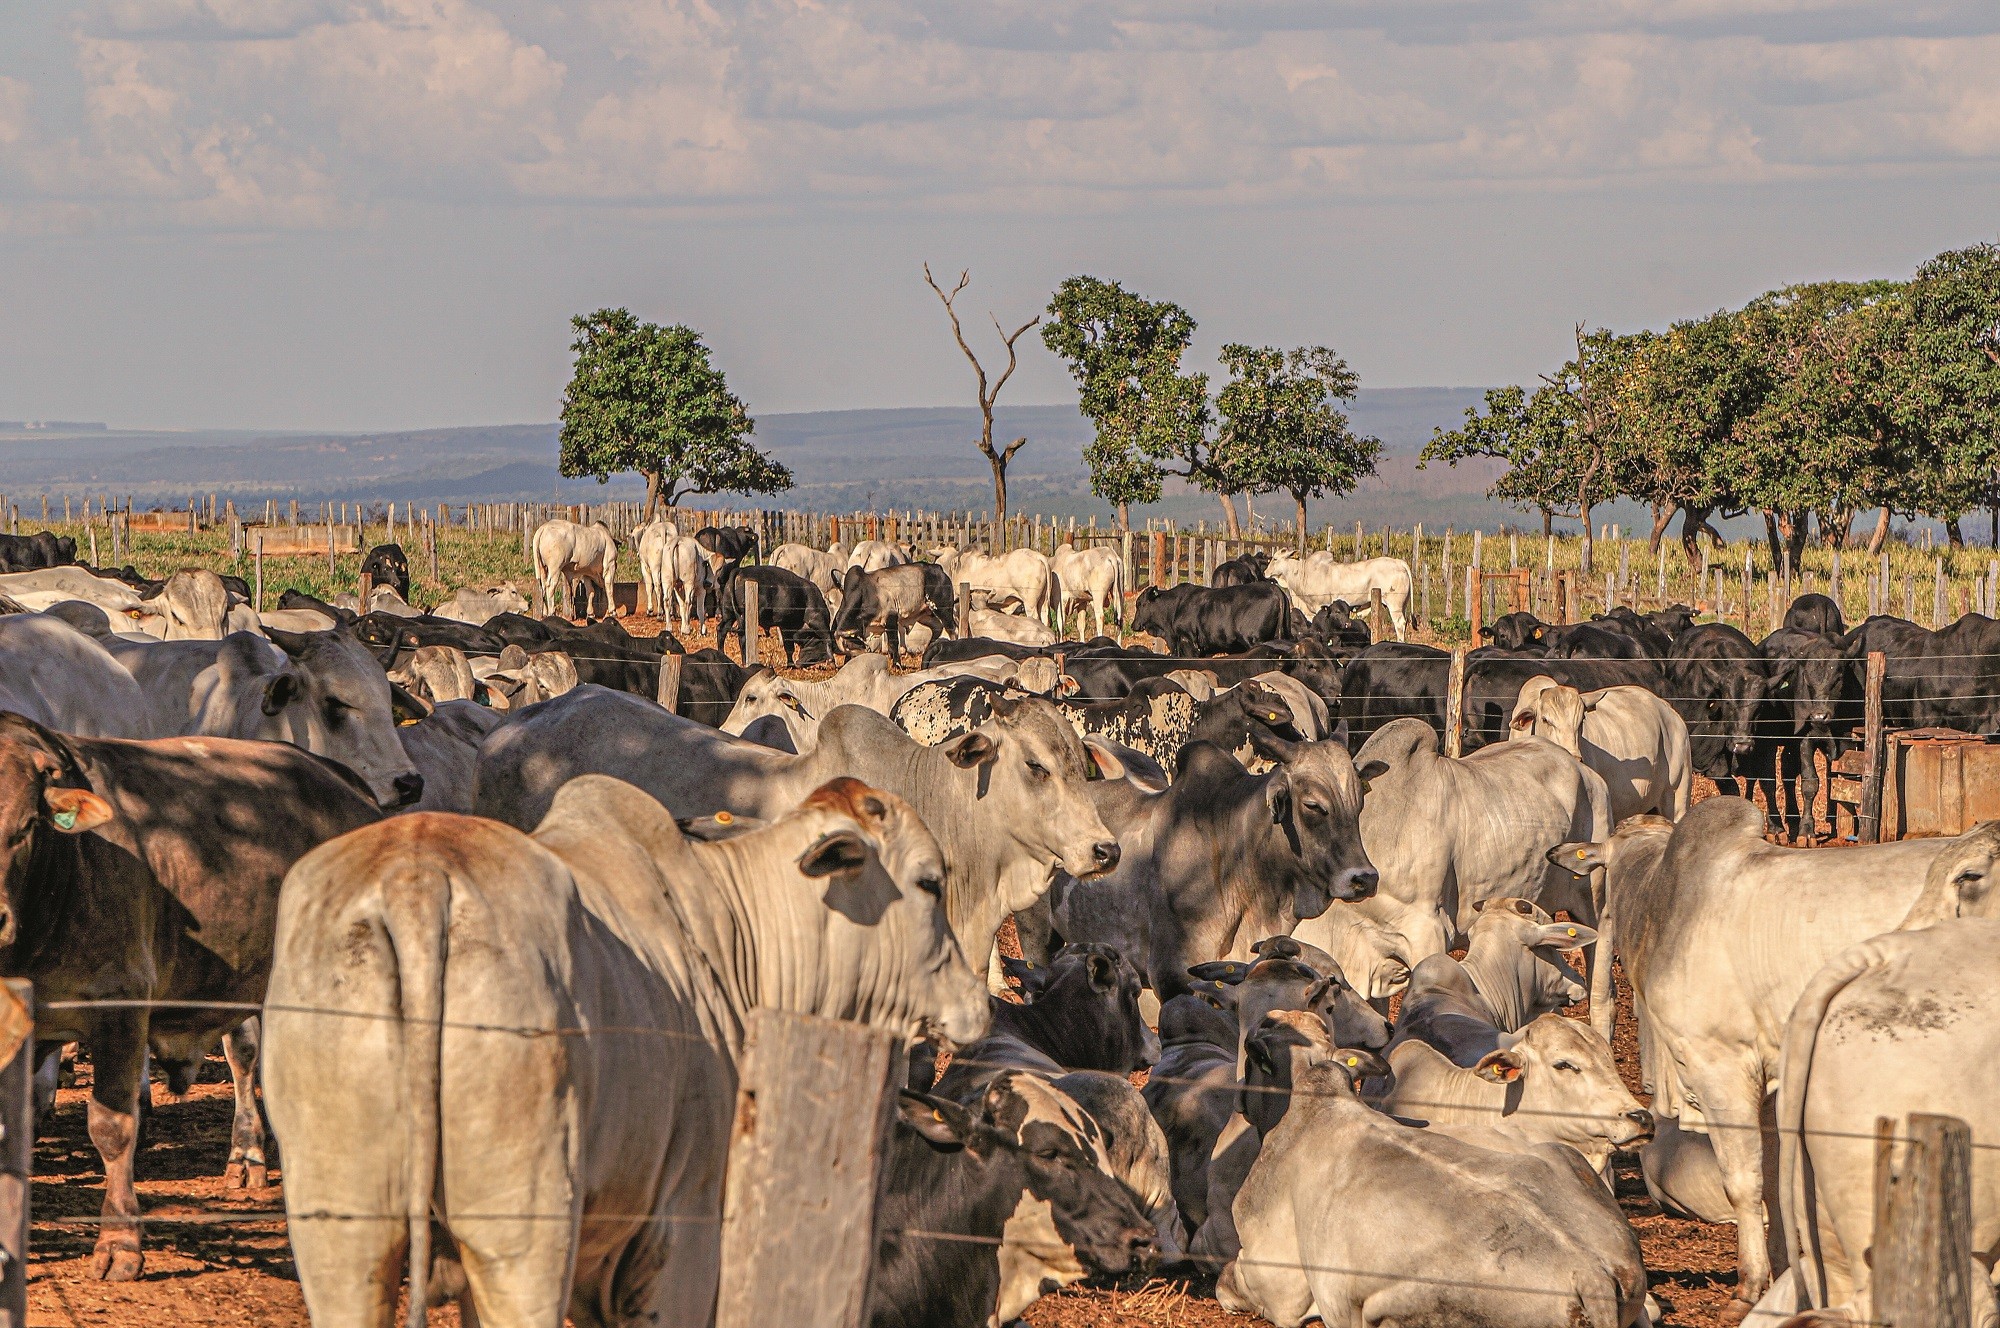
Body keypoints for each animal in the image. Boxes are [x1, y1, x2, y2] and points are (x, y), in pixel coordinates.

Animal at [1256, 556, 1416, 644]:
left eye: (1275, 558)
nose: (1266, 572)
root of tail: (1398, 562)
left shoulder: (1318, 606)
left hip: (1394, 605)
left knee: (1400, 624)